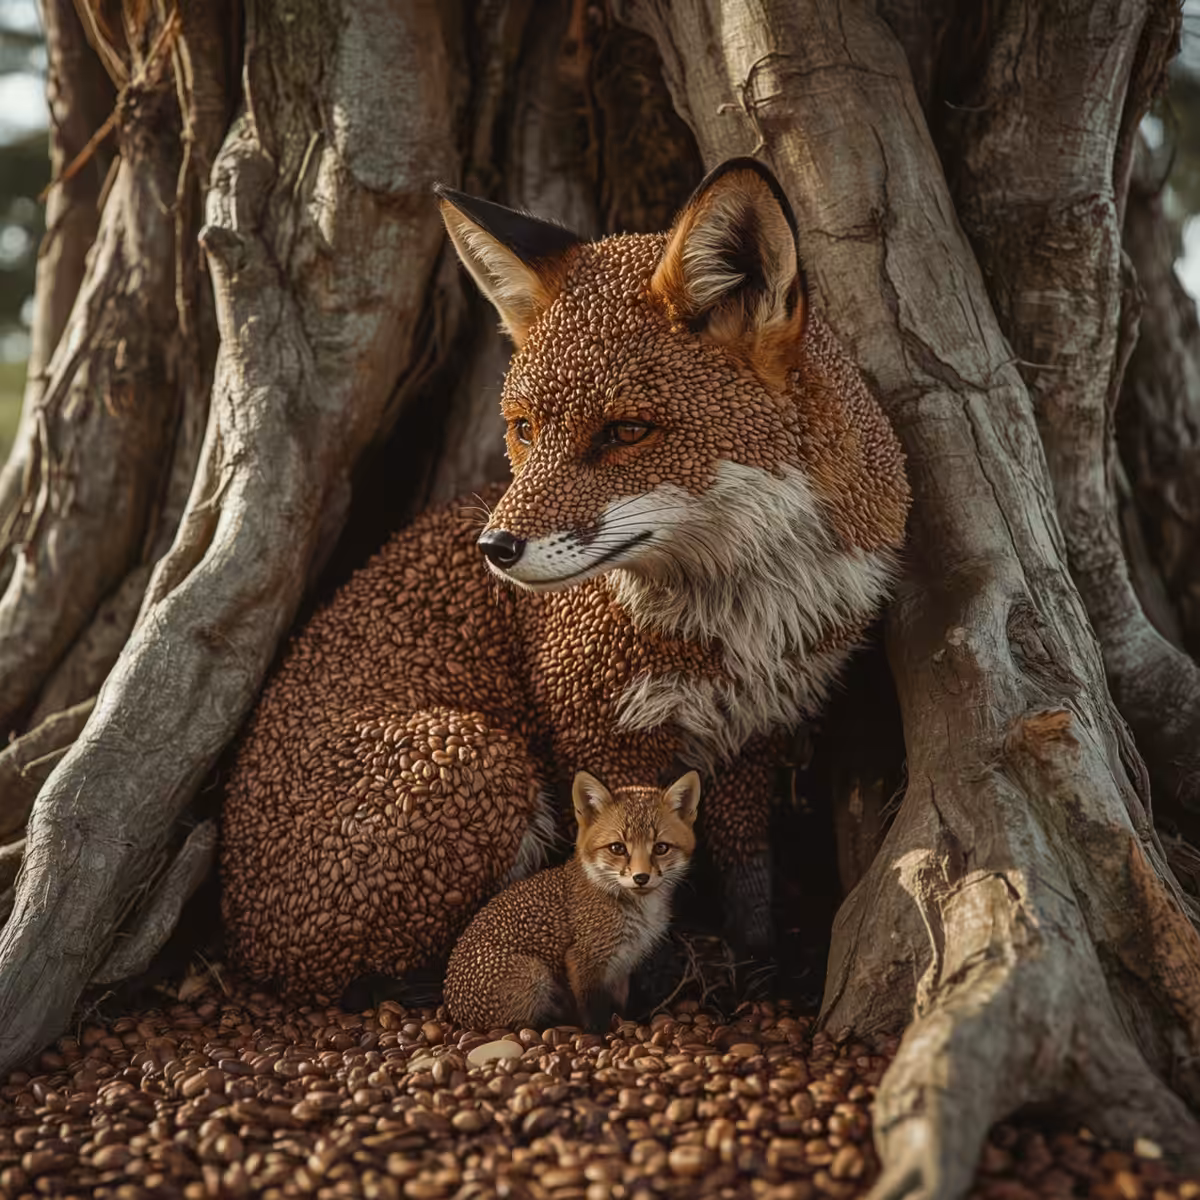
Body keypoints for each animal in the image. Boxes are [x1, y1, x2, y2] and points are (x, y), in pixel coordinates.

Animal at [219, 157, 910, 999]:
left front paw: (758, 956)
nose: (495, 547)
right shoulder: (592, 721)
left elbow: (745, 864)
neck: (744, 610)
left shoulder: (759, 725)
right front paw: (660, 966)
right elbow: (615, 860)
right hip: (480, 758)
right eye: (522, 429)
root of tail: (242, 943)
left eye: (625, 432)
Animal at [444, 770, 699, 1032]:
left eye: (661, 848)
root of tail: (454, 1012)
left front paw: (623, 1022)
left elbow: (620, 1006)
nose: (641, 877)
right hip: (535, 976)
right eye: (617, 848)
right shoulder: (583, 959)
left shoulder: (622, 966)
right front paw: (599, 1035)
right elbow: (592, 1013)